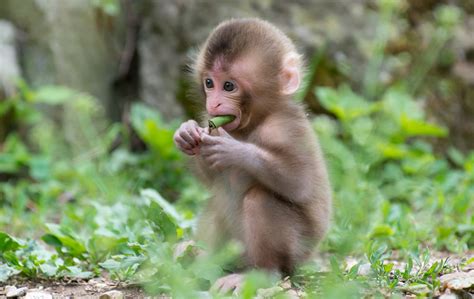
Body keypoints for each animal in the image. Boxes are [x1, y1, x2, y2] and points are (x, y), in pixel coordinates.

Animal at [172, 17, 332, 294]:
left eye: (229, 86)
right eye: (209, 83)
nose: (213, 103)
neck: (255, 120)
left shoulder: (285, 127)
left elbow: (299, 181)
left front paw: (234, 150)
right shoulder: (210, 121)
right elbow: (211, 177)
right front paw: (187, 133)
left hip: (296, 252)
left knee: (260, 199)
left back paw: (261, 274)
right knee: (218, 198)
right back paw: (198, 256)